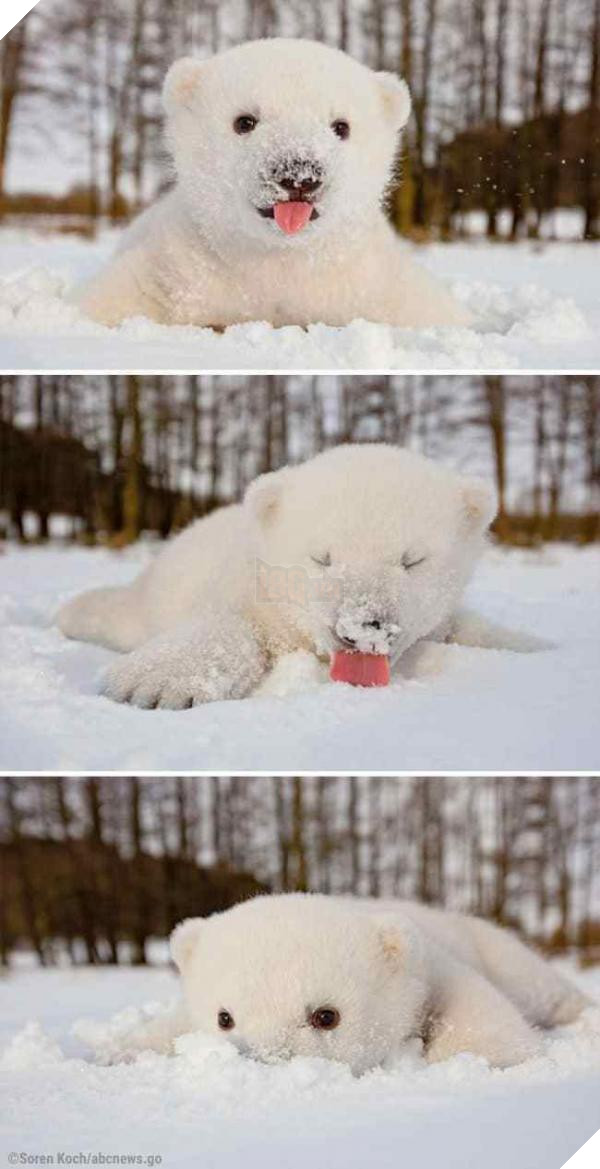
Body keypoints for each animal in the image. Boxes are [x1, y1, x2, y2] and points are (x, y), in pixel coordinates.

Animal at [57, 443, 545, 710]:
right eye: (322, 557)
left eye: (412, 560)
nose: (363, 626)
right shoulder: (240, 586)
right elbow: (229, 624)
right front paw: (152, 683)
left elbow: (469, 627)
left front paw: (535, 648)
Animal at [75, 38, 468, 330]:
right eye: (245, 121)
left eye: (341, 126)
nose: (300, 175)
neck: (280, 261)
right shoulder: (179, 268)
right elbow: (114, 298)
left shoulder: (370, 284)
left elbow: (425, 310)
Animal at [168, 894, 589, 1072]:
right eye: (224, 1018)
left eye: (326, 1015)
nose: (266, 1062)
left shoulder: (434, 969)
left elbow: (487, 1026)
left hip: (493, 948)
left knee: (536, 985)